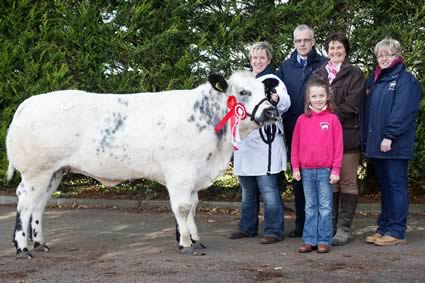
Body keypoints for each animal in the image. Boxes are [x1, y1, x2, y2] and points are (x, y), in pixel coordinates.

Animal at [6, 70, 280, 258]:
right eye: (243, 92)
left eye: (266, 93)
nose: (272, 112)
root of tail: (29, 102)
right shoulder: (180, 173)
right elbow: (182, 208)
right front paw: (185, 244)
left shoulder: (194, 175)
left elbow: (193, 207)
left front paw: (195, 239)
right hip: (36, 171)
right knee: (25, 202)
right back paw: (22, 248)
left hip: (54, 172)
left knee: (39, 205)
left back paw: (40, 244)